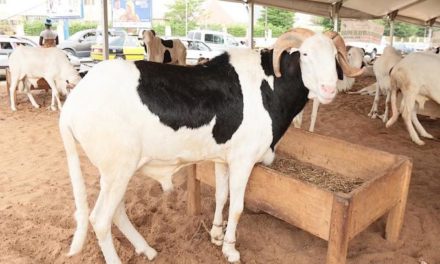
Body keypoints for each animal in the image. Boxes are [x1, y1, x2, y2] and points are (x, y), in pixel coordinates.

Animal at [59, 27, 364, 262]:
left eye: (334, 57)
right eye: (305, 54)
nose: (328, 89)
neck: (268, 87)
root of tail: (74, 101)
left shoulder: (223, 157)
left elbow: (221, 195)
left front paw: (217, 234)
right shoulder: (243, 159)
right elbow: (238, 205)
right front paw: (230, 249)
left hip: (116, 172)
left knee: (117, 212)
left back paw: (146, 249)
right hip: (118, 169)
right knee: (100, 219)